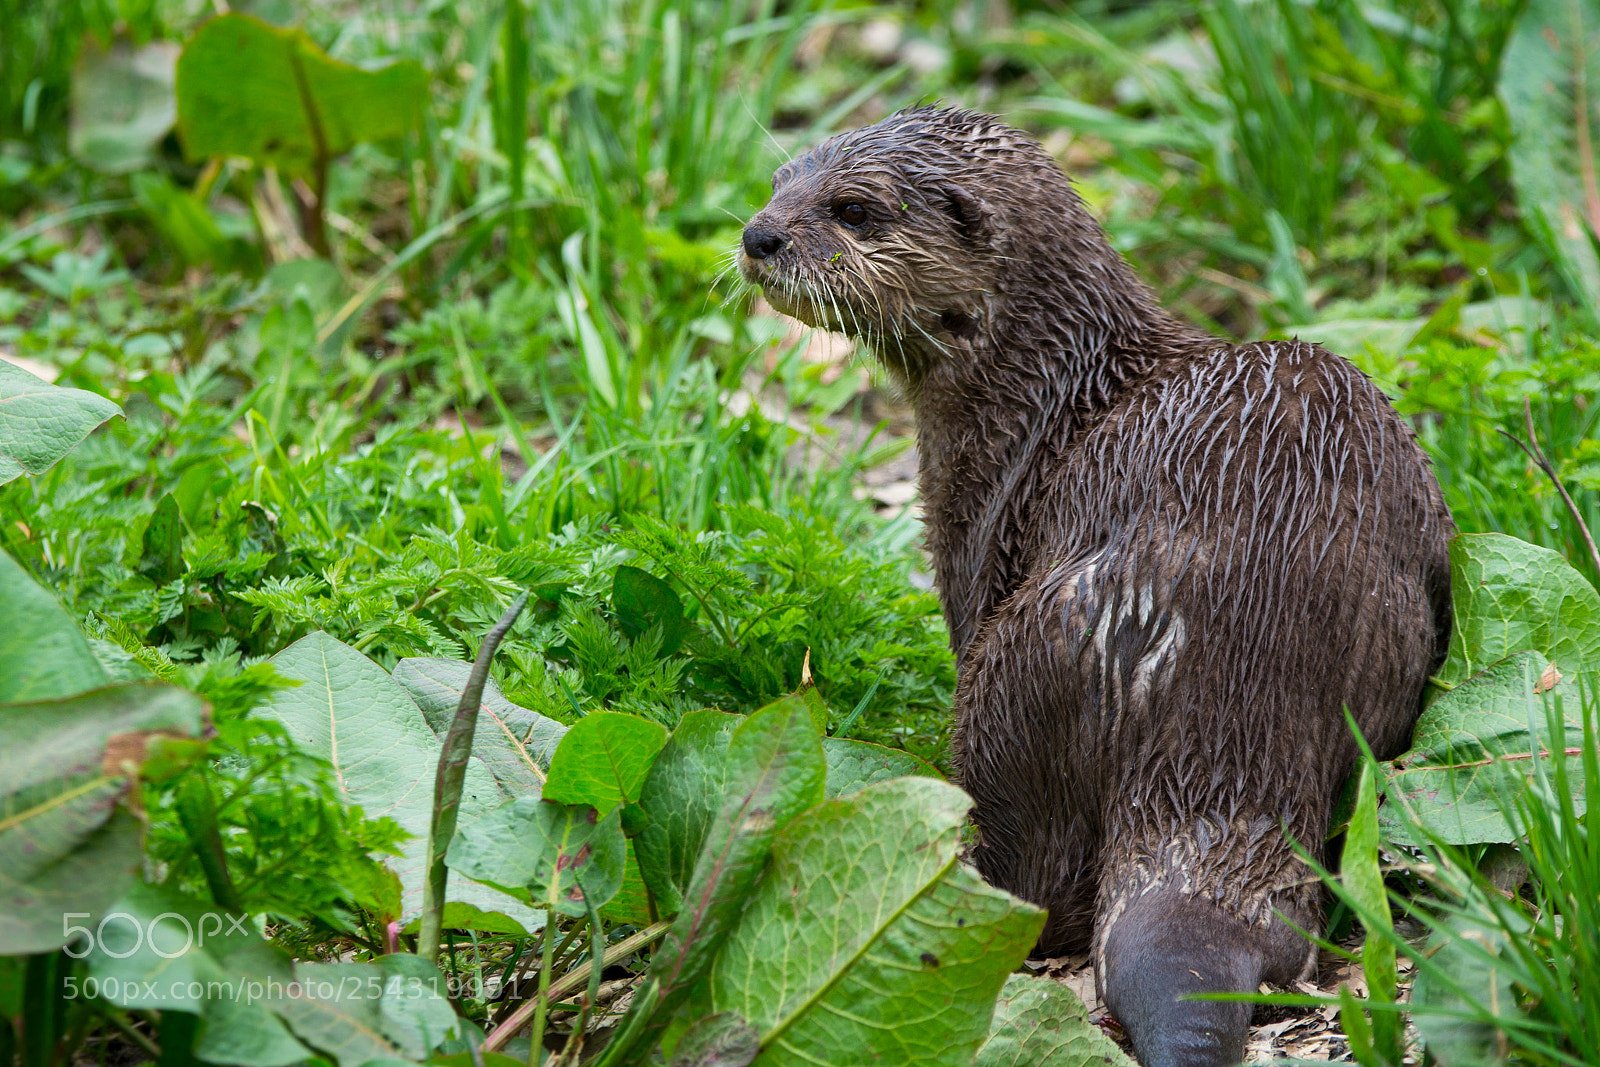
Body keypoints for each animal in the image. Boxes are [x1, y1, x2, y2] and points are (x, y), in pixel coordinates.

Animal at [738, 107, 1452, 1067]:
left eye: (852, 209)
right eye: (782, 179)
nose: (759, 235)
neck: (1047, 391)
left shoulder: (979, 530)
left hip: (1015, 667)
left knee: (1035, 882)